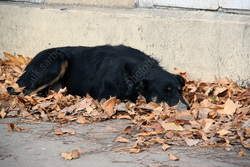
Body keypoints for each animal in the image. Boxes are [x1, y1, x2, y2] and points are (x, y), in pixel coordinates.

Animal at [10, 45, 189, 109]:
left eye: (180, 90)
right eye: (165, 92)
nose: (187, 108)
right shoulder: (106, 96)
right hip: (57, 58)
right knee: (23, 92)